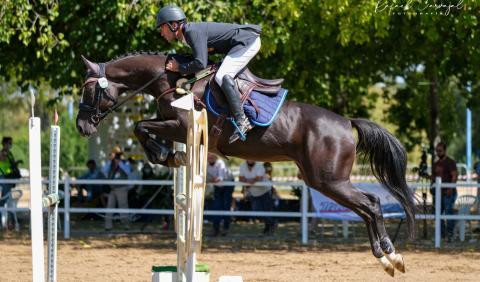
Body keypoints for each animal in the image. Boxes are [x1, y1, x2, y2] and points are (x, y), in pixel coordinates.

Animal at [77, 51, 414, 276]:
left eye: (89, 90)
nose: (82, 127)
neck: (173, 81)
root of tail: (346, 122)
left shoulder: (179, 125)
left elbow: (140, 126)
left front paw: (164, 155)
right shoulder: (172, 125)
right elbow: (142, 127)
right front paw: (169, 156)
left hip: (329, 180)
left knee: (371, 204)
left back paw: (391, 255)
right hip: (322, 180)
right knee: (366, 207)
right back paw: (386, 259)